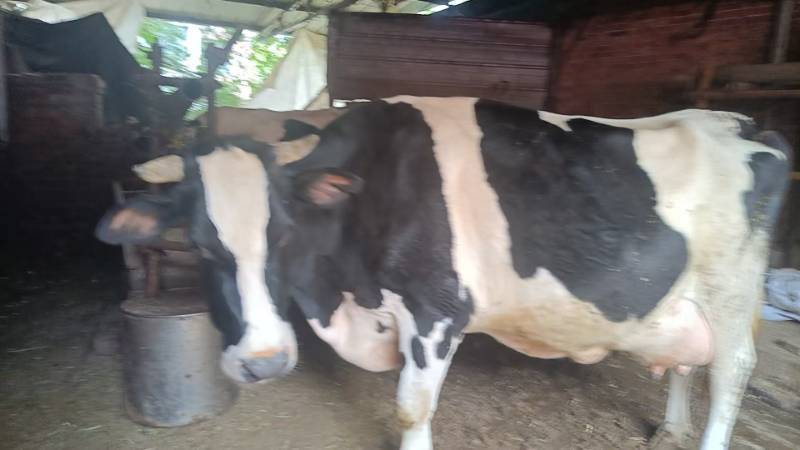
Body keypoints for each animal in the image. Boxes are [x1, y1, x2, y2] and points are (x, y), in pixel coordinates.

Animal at [96, 96, 791, 450]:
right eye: (201, 245)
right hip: (681, 300)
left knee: (730, 376)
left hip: (733, 292)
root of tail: (738, 120)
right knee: (684, 362)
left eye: (284, 234)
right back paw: (670, 429)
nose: (263, 362)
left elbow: (411, 409)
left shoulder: (436, 310)